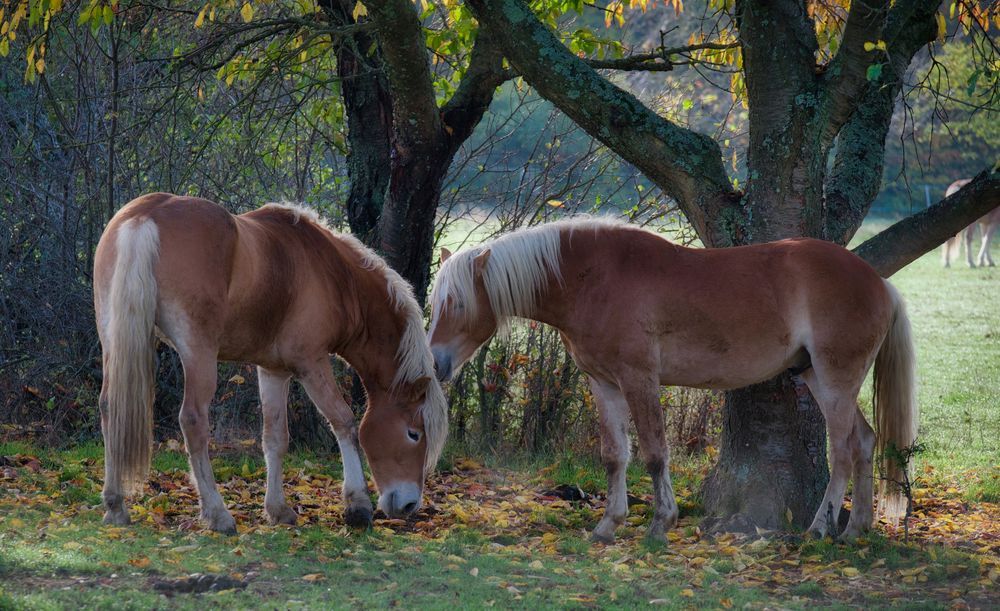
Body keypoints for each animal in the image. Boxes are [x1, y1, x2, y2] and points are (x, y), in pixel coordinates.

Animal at [95, 194, 448, 532]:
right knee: (193, 421)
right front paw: (357, 506)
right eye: (413, 433)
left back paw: (116, 506)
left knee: (110, 407)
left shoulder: (273, 370)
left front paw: (277, 509)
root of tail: (146, 216)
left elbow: (276, 438)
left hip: (114, 343)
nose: (409, 505)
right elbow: (344, 421)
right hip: (199, 354)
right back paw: (218, 514)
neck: (332, 272)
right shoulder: (311, 363)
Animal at [426, 218, 916, 544]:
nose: (436, 364)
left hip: (835, 378)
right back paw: (856, 529)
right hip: (817, 375)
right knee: (865, 442)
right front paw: (608, 525)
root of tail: (879, 283)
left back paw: (819, 528)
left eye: (457, 303)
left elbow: (655, 453)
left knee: (844, 451)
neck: (593, 278)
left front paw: (661, 522)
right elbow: (614, 456)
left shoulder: (639, 378)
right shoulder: (604, 384)